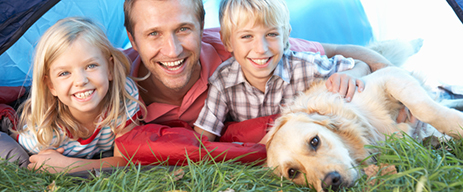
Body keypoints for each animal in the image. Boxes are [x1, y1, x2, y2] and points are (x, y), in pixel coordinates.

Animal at [264, 39, 463, 191]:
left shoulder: (389, 76)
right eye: (292, 172)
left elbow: (424, 109)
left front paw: (457, 126)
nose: (331, 182)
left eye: (314, 141)